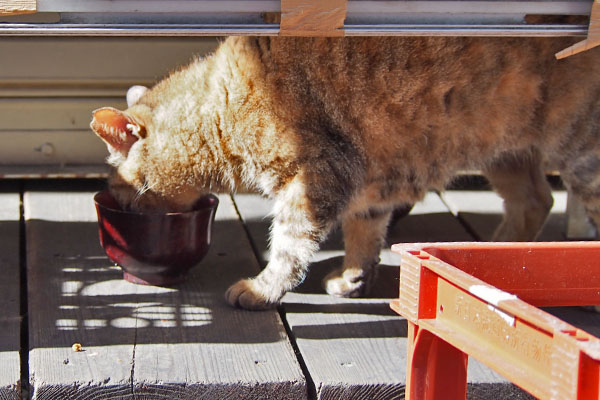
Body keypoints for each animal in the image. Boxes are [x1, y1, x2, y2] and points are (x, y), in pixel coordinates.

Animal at [90, 35, 600, 310]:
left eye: (117, 187)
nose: (117, 202)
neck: (221, 107)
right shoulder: (368, 186)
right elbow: (364, 233)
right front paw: (353, 277)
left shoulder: (315, 180)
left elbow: (289, 247)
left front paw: (262, 289)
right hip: (506, 153)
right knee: (535, 200)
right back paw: (493, 257)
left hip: (578, 153)